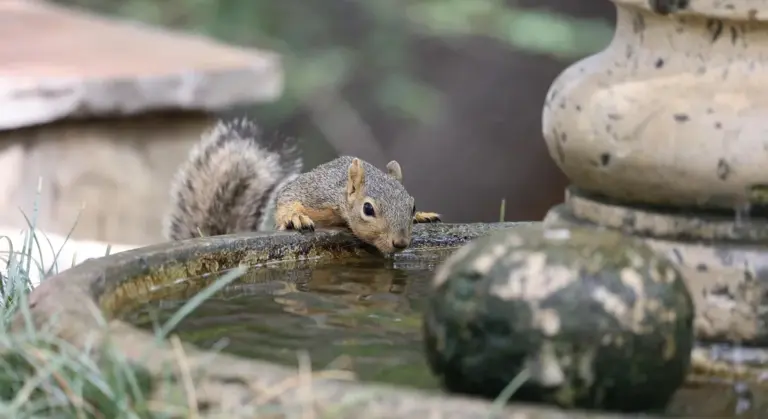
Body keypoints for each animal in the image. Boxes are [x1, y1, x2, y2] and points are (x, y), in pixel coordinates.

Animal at [163, 118, 441, 255]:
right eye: (368, 209)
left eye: (411, 205)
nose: (400, 243)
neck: (341, 195)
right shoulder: (317, 192)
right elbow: (288, 196)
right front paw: (294, 217)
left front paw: (423, 215)